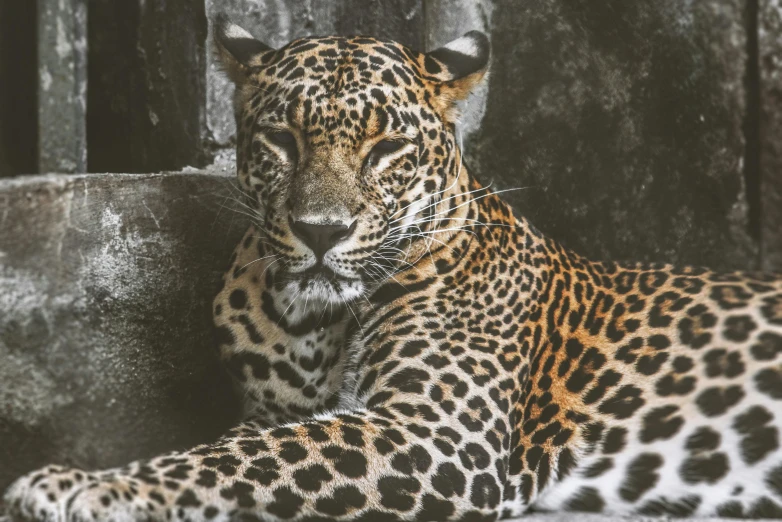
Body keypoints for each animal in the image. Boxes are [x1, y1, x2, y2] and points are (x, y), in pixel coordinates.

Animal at [4, 12, 782, 520]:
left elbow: (244, 458)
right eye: (283, 140)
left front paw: (86, 487)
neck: (314, 322)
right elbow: (251, 448)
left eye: (385, 150)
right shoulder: (283, 409)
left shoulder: (438, 432)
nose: (320, 231)